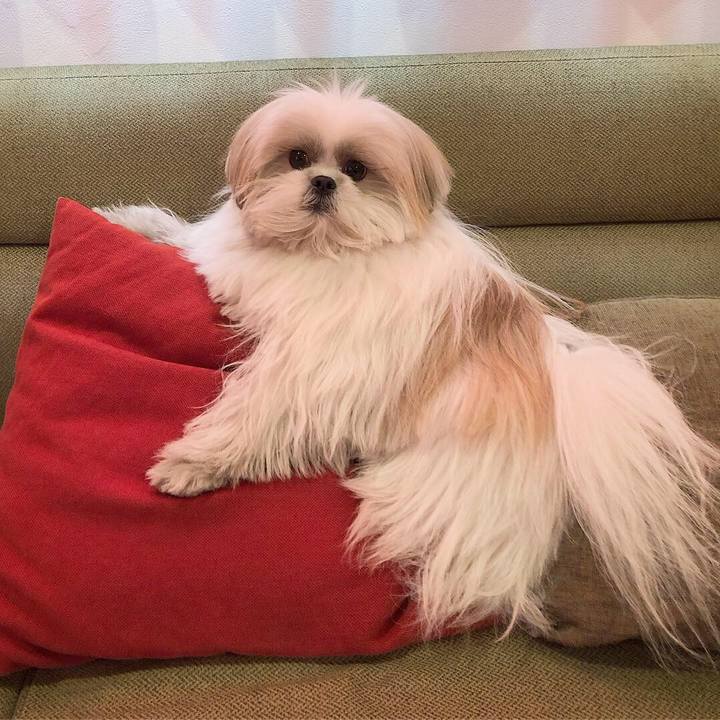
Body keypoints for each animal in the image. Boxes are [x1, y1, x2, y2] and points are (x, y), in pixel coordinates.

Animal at [96, 80, 720, 658]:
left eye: (356, 169)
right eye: (297, 158)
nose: (323, 182)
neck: (328, 251)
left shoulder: (314, 368)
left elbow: (256, 410)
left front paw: (192, 463)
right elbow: (189, 242)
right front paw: (133, 222)